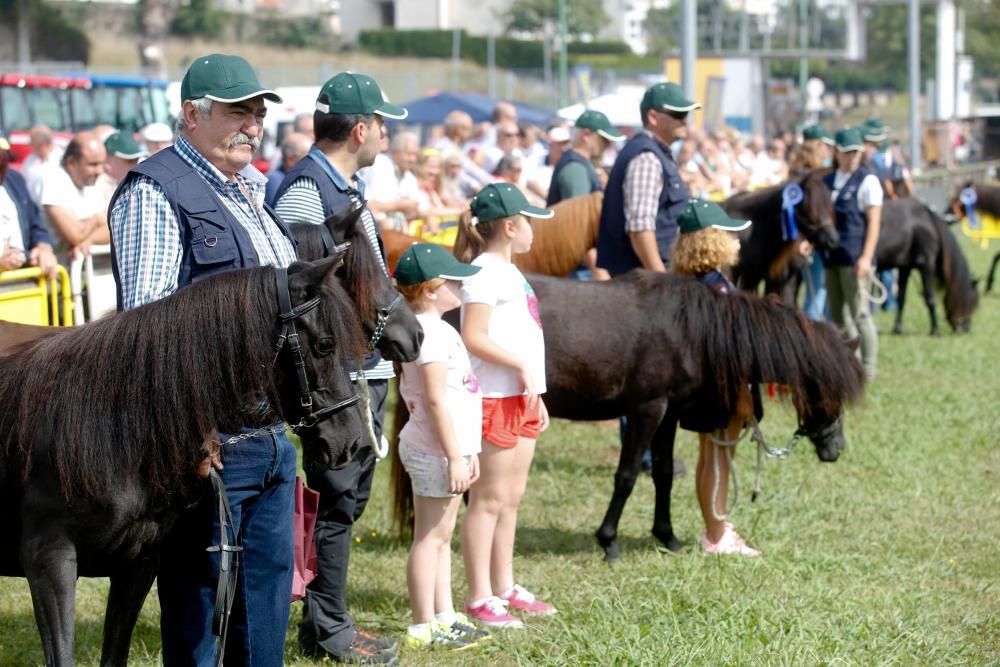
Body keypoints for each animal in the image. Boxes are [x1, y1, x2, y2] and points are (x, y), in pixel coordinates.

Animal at [528, 274, 864, 560]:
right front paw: (609, 541)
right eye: (828, 390)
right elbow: (627, 475)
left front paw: (667, 537)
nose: (837, 447)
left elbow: (663, 474)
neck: (690, 331)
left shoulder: (668, 414)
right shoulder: (647, 410)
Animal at [876, 197, 976, 334]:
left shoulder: (905, 268)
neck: (928, 224)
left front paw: (898, 328)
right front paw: (935, 330)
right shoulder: (927, 264)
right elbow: (930, 298)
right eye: (973, 301)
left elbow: (901, 298)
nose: (966, 328)